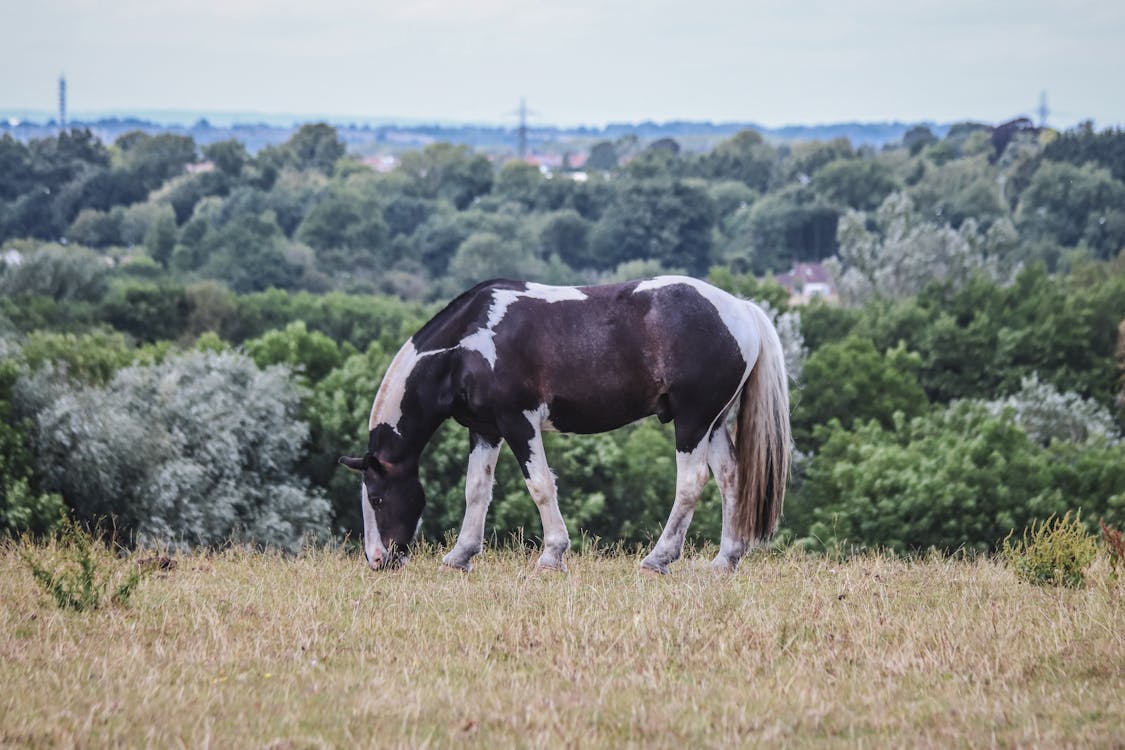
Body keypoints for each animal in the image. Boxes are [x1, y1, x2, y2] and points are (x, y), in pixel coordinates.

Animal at [339, 275, 792, 575]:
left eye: (376, 498)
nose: (378, 559)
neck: (468, 344)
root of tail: (741, 309)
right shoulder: (485, 429)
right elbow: (476, 490)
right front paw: (460, 555)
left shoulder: (518, 422)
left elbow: (540, 485)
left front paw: (552, 554)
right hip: (713, 423)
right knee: (731, 478)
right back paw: (725, 560)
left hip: (692, 422)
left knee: (692, 482)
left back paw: (659, 558)